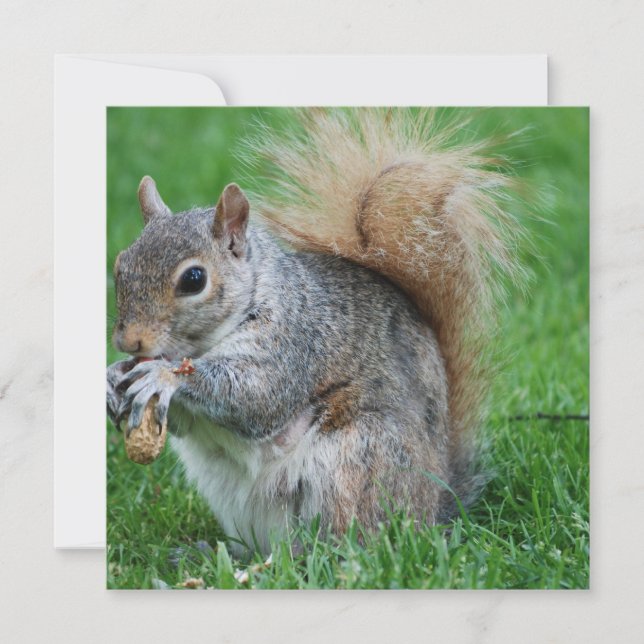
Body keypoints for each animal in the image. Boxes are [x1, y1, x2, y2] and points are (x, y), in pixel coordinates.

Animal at [106, 108, 521, 556]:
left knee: (347, 545)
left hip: (355, 463)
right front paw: (113, 378)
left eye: (194, 279)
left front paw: (162, 375)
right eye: (120, 264)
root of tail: (434, 507)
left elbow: (257, 396)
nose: (129, 341)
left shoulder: (294, 340)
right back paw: (220, 553)